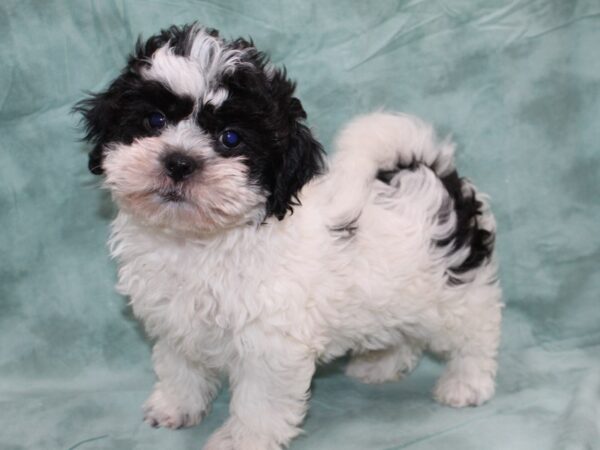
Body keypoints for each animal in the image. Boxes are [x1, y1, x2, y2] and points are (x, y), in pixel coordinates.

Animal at [77, 23, 504, 450]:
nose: (180, 162)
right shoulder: (175, 319)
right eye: (154, 119)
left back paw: (467, 384)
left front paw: (243, 439)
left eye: (231, 138)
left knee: (476, 331)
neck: (200, 239)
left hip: (453, 293)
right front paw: (175, 407)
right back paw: (381, 365)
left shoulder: (270, 340)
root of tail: (430, 170)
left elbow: (259, 399)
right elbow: (180, 366)